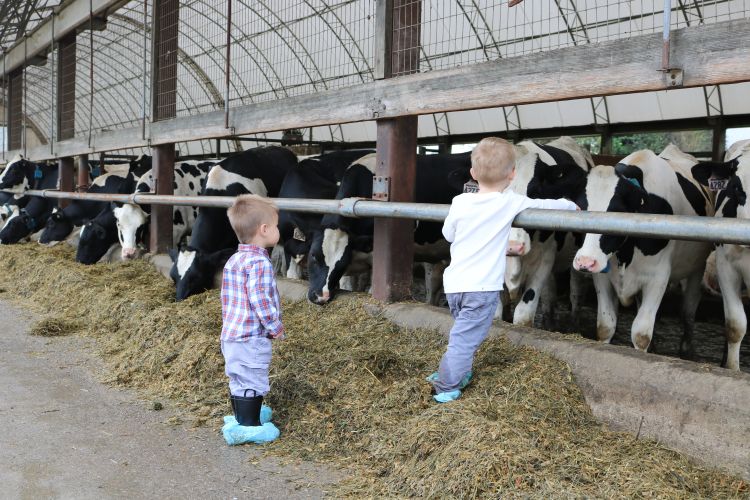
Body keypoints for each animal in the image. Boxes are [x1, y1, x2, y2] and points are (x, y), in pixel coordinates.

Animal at [576, 146, 716, 358]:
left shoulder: (658, 277)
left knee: (688, 311)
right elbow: (605, 326)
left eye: (617, 211)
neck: (626, 252)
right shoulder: (602, 276)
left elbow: (641, 333)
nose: (585, 261)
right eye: (580, 207)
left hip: (696, 269)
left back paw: (686, 350)